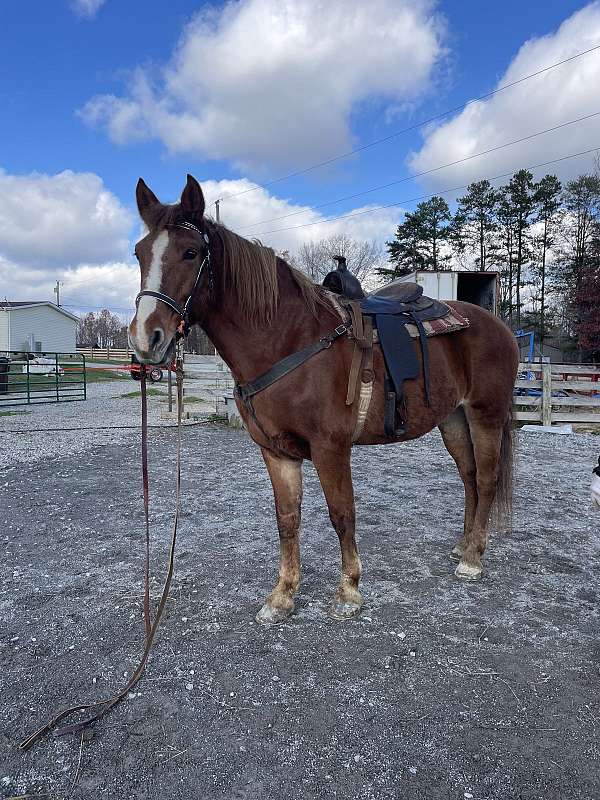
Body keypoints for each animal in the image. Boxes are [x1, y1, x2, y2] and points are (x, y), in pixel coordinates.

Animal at [129, 173, 516, 624]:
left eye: (191, 252)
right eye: (139, 253)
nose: (146, 339)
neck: (290, 339)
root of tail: (498, 326)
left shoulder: (331, 448)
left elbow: (342, 515)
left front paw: (349, 591)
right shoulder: (277, 451)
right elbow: (287, 519)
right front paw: (283, 596)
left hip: (485, 414)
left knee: (487, 477)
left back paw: (472, 558)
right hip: (452, 418)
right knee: (469, 476)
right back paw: (464, 543)